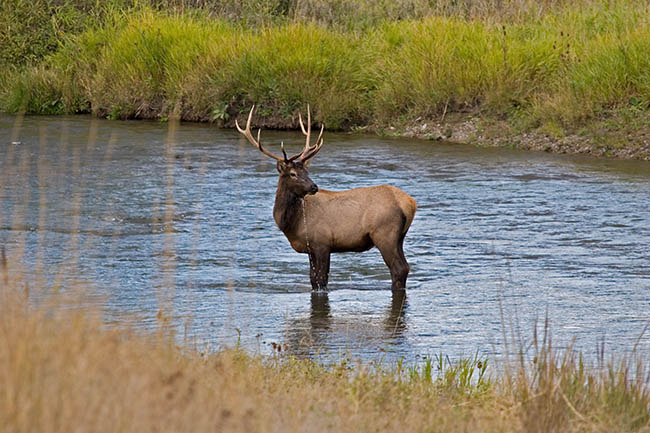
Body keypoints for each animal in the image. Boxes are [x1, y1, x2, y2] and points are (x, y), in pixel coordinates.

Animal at [234, 105, 416, 290]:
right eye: (293, 173)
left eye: (305, 171)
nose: (314, 187)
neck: (292, 222)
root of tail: (410, 203)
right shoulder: (311, 249)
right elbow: (313, 280)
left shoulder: (322, 243)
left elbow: (321, 280)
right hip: (399, 237)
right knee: (406, 267)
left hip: (384, 233)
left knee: (398, 268)